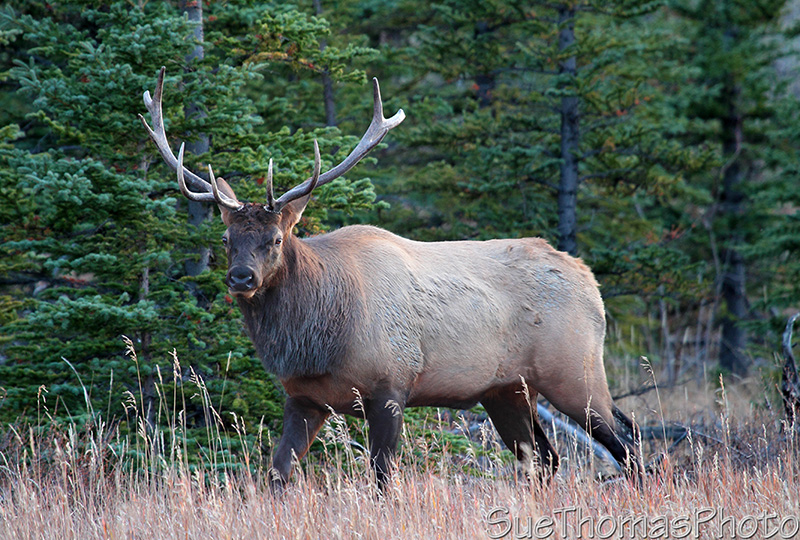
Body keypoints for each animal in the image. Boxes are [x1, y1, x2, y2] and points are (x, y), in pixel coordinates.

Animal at [139, 67, 641, 490]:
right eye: (226, 238)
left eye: (276, 238)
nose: (241, 277)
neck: (317, 341)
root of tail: (589, 280)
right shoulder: (303, 398)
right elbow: (278, 473)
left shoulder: (391, 386)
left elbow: (382, 478)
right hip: (508, 389)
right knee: (544, 458)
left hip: (575, 370)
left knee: (628, 439)